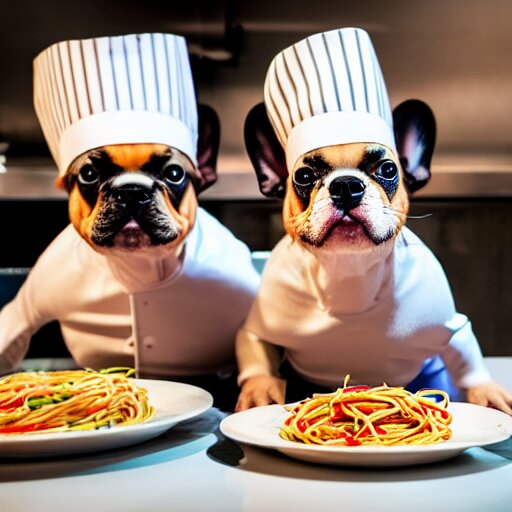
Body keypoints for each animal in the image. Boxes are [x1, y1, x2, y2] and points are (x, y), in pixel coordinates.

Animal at [235, 100, 512, 416]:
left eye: (388, 169)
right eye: (304, 176)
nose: (346, 184)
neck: (348, 273)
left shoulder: (447, 328)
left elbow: (469, 362)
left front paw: (487, 393)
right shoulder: (261, 325)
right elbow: (258, 360)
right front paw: (259, 392)